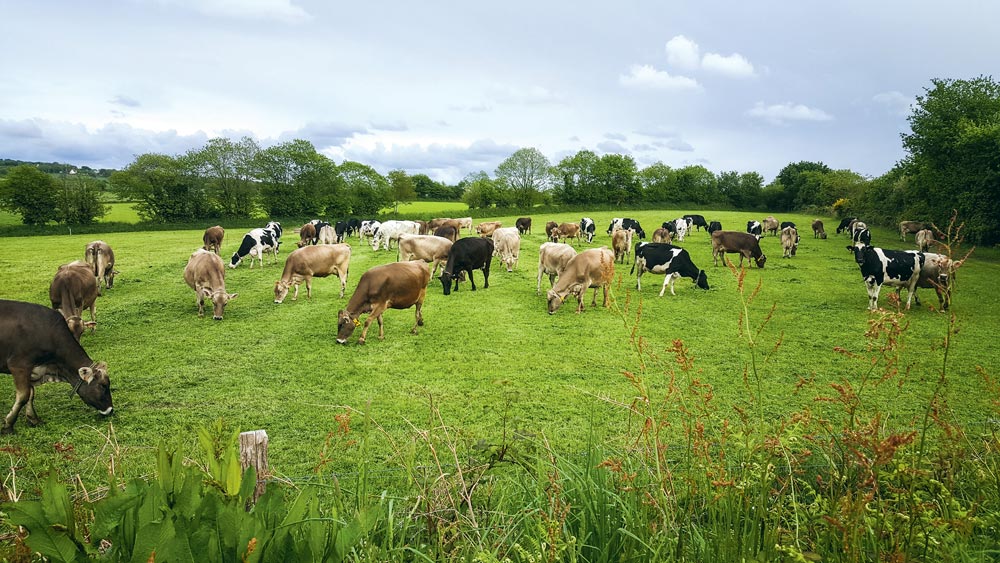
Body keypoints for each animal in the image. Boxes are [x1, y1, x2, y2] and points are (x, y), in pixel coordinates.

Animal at [0, 302, 114, 434]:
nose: (111, 410)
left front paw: (33, 419)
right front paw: (8, 425)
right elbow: (24, 396)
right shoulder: (19, 365)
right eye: (103, 386)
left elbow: (31, 393)